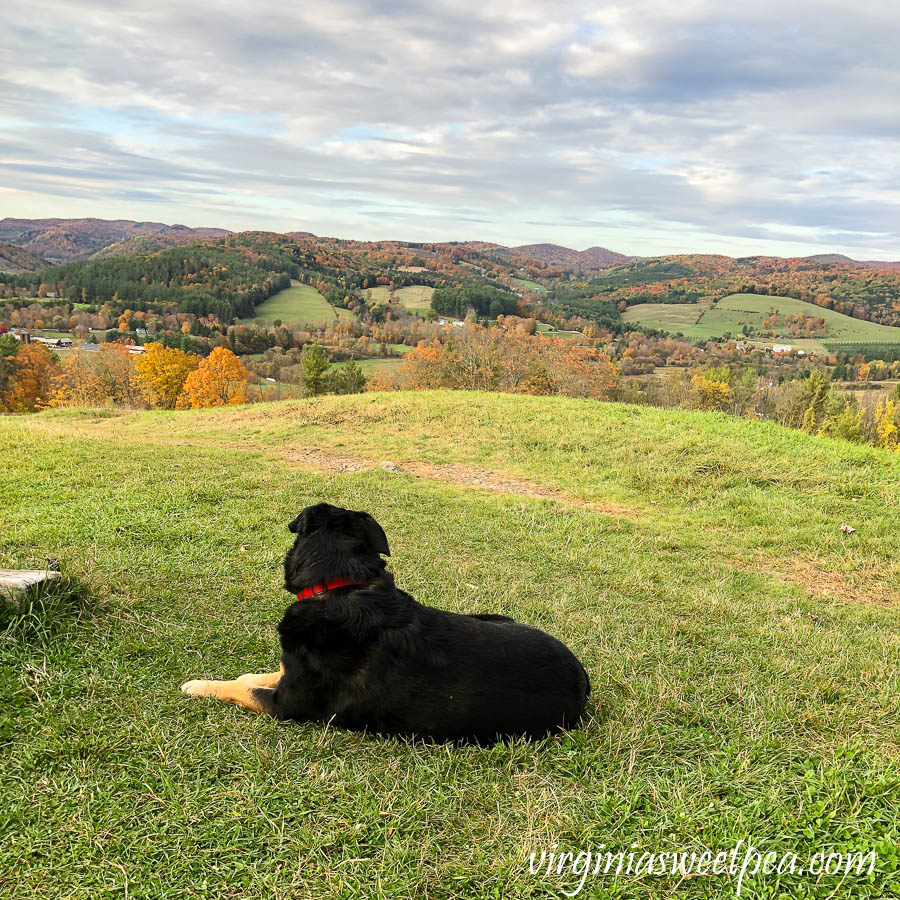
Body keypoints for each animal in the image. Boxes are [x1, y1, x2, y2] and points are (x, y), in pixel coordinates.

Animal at [182, 502, 592, 740]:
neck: (340, 584)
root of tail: (584, 681)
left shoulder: (289, 705)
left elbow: (240, 689)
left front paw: (198, 685)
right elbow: (258, 676)